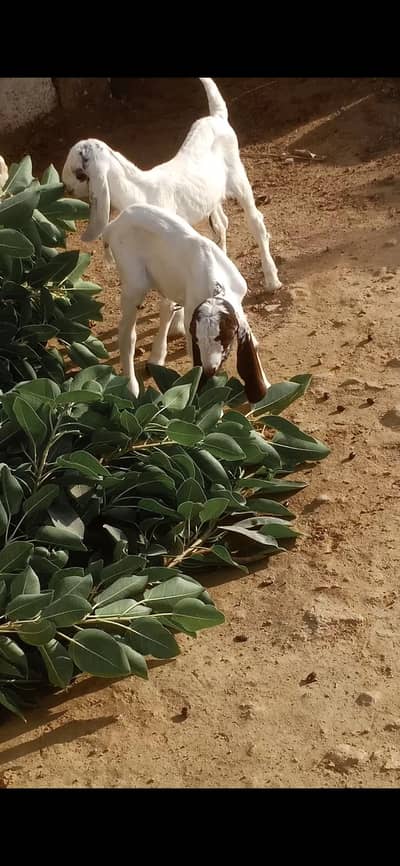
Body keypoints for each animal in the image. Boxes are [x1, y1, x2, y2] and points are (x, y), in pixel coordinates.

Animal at [62, 78, 282, 336]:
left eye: (78, 172)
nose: (66, 187)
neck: (140, 191)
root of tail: (216, 117)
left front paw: (176, 325)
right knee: (221, 223)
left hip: (239, 178)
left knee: (256, 222)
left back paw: (271, 279)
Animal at [102, 203, 271, 405]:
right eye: (198, 339)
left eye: (225, 337)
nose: (209, 369)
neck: (215, 285)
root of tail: (114, 224)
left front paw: (265, 386)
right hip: (134, 283)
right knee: (127, 333)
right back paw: (132, 387)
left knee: (166, 307)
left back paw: (156, 358)